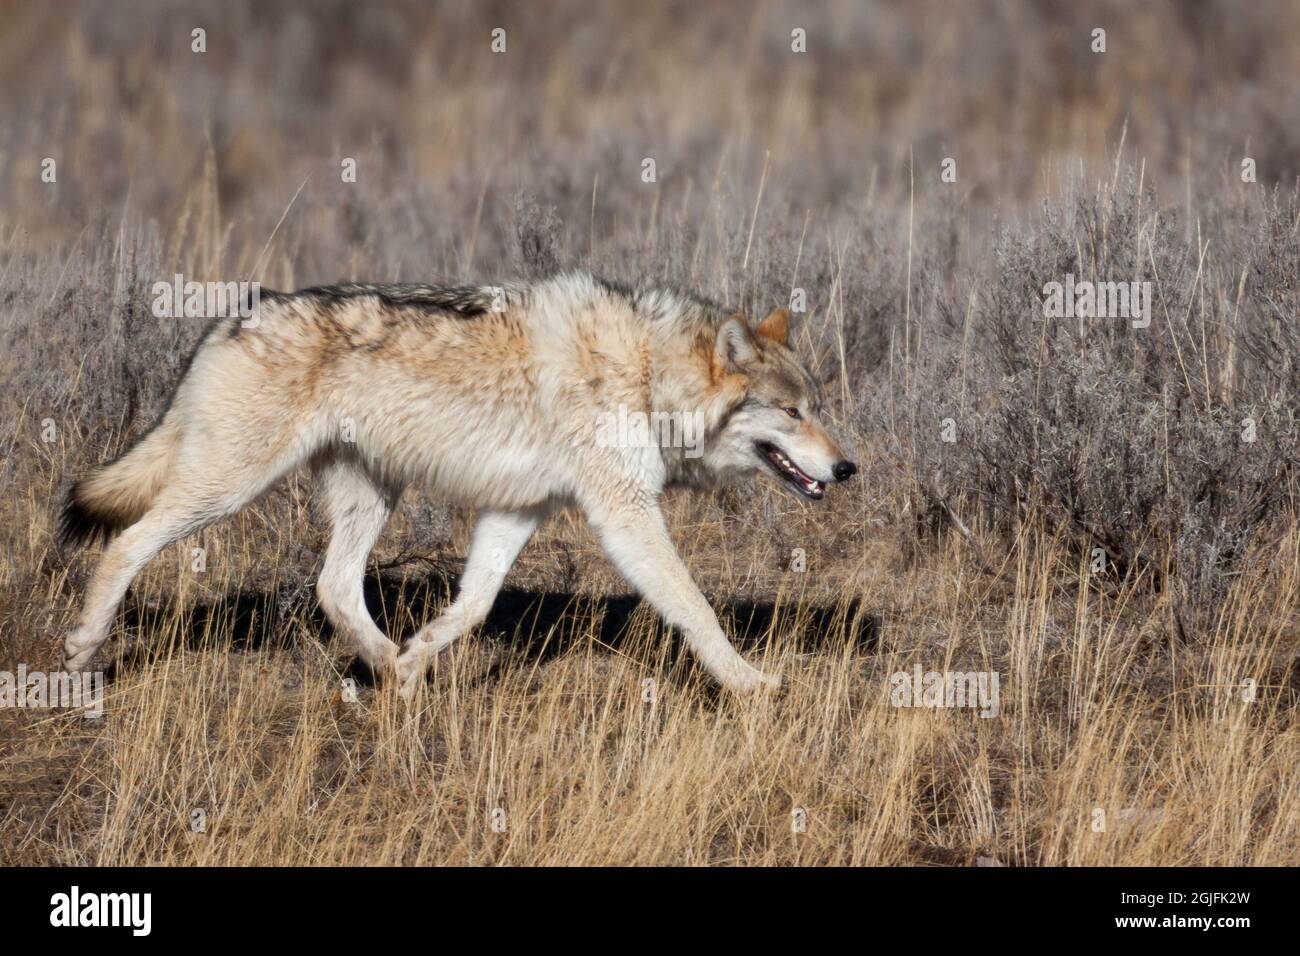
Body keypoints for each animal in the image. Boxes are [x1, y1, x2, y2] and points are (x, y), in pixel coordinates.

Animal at [61, 269, 857, 697]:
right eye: (793, 413)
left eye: (818, 408)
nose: (848, 468)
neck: (648, 373)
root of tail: (230, 319)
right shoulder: (624, 513)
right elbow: (696, 608)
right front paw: (751, 683)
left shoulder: (519, 510)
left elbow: (471, 606)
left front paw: (418, 657)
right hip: (228, 486)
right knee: (127, 542)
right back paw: (82, 646)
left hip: (369, 497)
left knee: (333, 587)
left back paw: (392, 671)